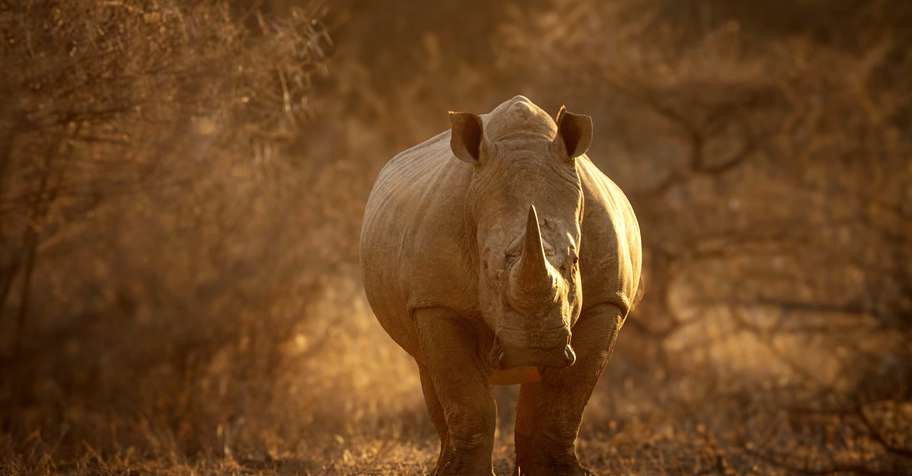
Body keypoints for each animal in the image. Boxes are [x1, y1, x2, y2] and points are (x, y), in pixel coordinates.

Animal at [360, 96, 642, 476]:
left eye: (574, 262)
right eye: (487, 267)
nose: (536, 346)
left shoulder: (607, 301)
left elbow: (563, 404)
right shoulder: (435, 302)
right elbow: (467, 400)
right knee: (428, 369)